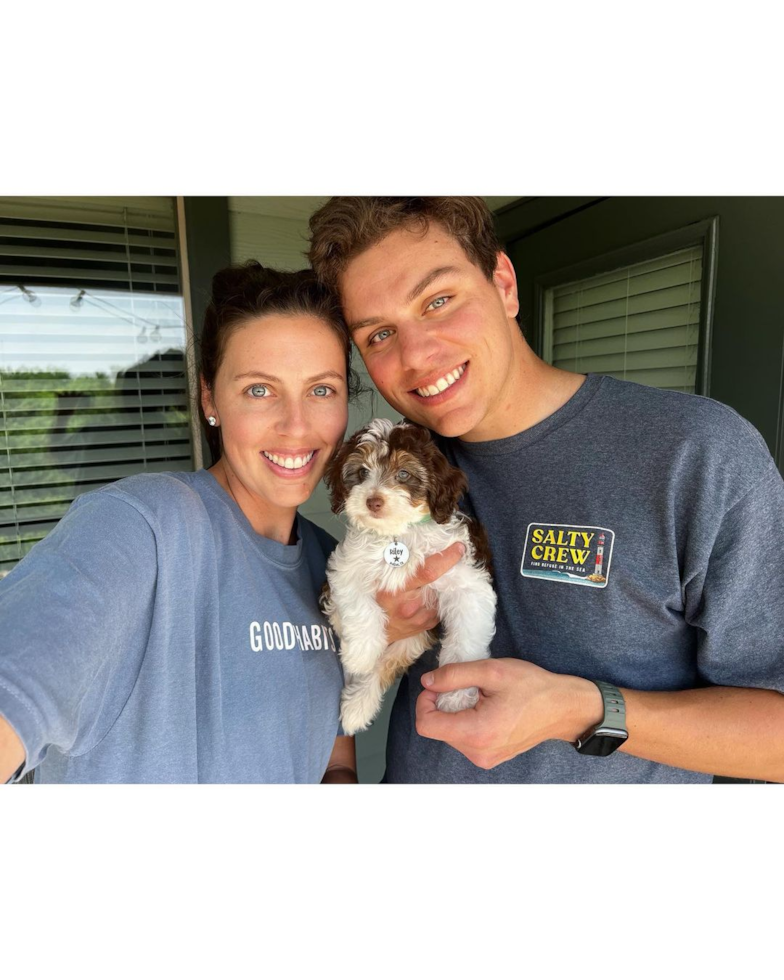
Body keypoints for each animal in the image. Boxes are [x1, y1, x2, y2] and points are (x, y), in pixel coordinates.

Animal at [318, 416, 496, 736]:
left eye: (403, 474)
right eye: (362, 472)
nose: (373, 501)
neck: (398, 535)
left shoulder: (466, 581)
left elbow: (466, 641)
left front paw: (457, 695)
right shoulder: (347, 566)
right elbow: (358, 605)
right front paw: (360, 653)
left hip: (411, 640)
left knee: (385, 666)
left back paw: (357, 706)